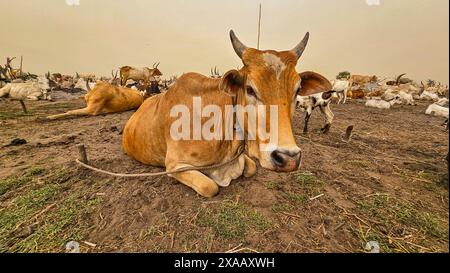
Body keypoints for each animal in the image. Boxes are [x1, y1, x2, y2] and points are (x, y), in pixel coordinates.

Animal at [122, 29, 330, 198]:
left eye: (297, 90)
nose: (288, 158)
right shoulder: (174, 165)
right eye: (250, 89)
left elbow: (251, 168)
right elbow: (210, 187)